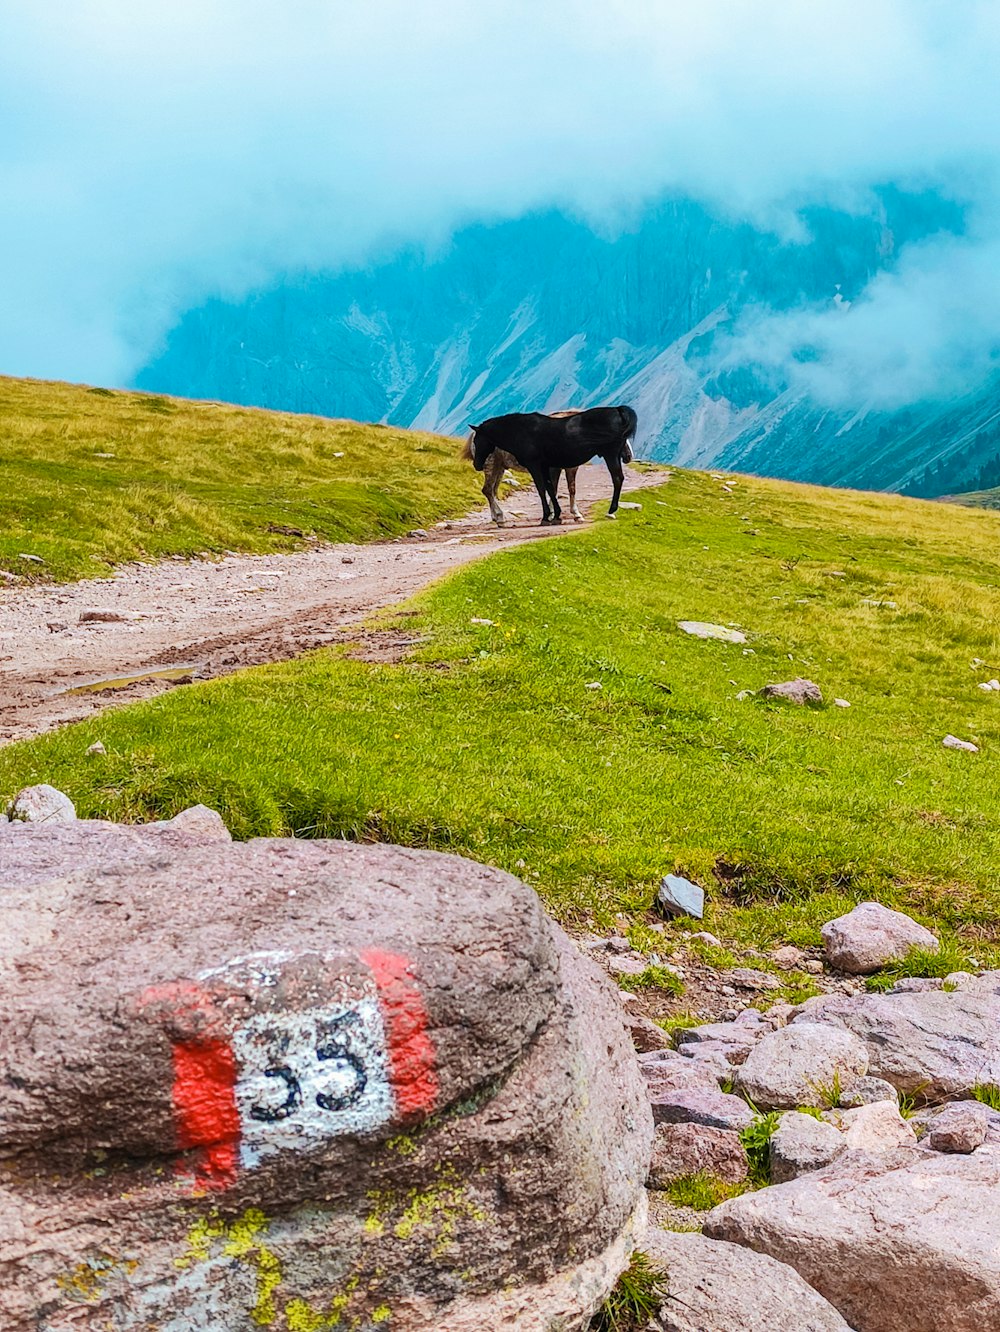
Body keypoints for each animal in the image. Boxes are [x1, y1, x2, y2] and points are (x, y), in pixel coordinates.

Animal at [468, 402, 633, 522]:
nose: (628, 456)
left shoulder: (553, 467)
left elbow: (558, 488)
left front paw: (559, 514)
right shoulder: (552, 467)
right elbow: (552, 488)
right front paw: (556, 514)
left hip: (499, 468)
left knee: (491, 491)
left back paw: (498, 517)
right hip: (492, 466)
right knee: (488, 490)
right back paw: (499, 517)